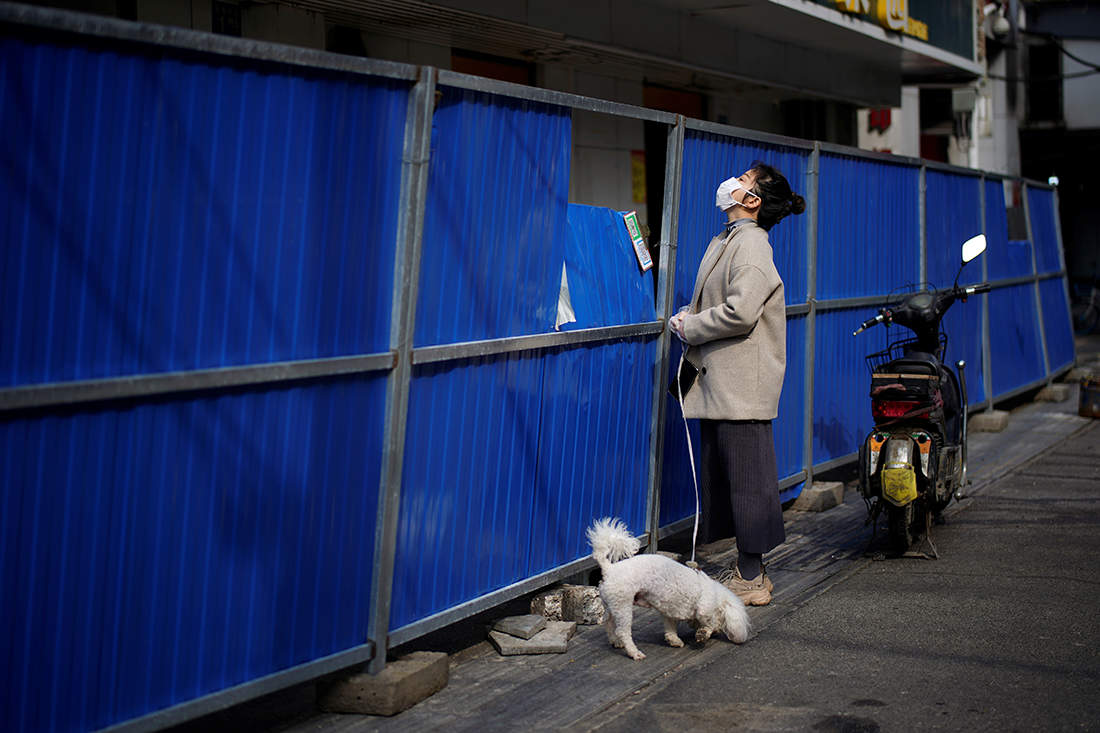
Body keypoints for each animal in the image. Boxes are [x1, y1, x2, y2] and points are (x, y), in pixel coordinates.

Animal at [589, 512, 752, 655]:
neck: (716, 594)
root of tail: (609, 569)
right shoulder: (704, 609)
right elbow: (709, 623)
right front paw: (704, 634)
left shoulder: (670, 612)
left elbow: (671, 628)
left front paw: (674, 640)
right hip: (623, 605)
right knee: (623, 631)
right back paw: (634, 653)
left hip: (612, 604)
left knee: (608, 622)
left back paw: (615, 641)